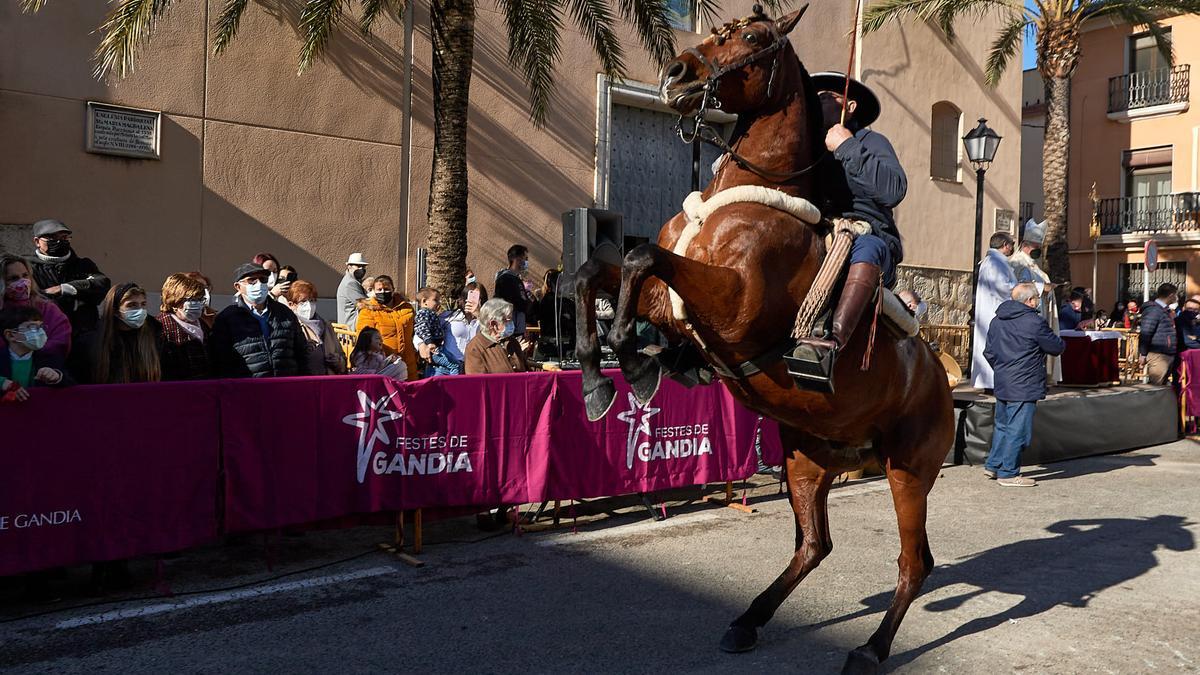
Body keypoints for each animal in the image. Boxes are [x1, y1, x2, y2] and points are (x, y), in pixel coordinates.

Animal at [571, 6, 955, 672]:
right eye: (717, 32)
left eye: (752, 38)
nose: (676, 73)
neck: (741, 199)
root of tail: (942, 378)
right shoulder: (672, 301)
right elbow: (596, 271)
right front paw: (604, 377)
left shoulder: (727, 306)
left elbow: (640, 255)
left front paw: (634, 361)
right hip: (806, 458)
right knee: (814, 545)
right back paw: (748, 619)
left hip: (908, 470)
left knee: (915, 562)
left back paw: (871, 648)